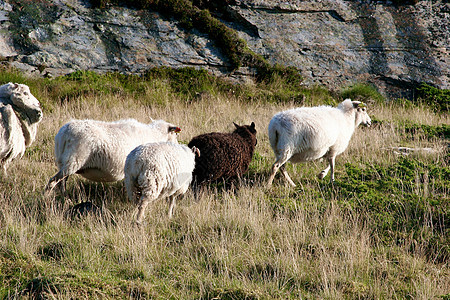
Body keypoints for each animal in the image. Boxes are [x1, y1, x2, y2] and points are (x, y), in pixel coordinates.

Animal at [44, 118, 180, 193]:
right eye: (175, 135)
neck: (155, 135)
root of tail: (63, 133)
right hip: (73, 161)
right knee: (53, 182)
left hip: (64, 163)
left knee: (61, 183)